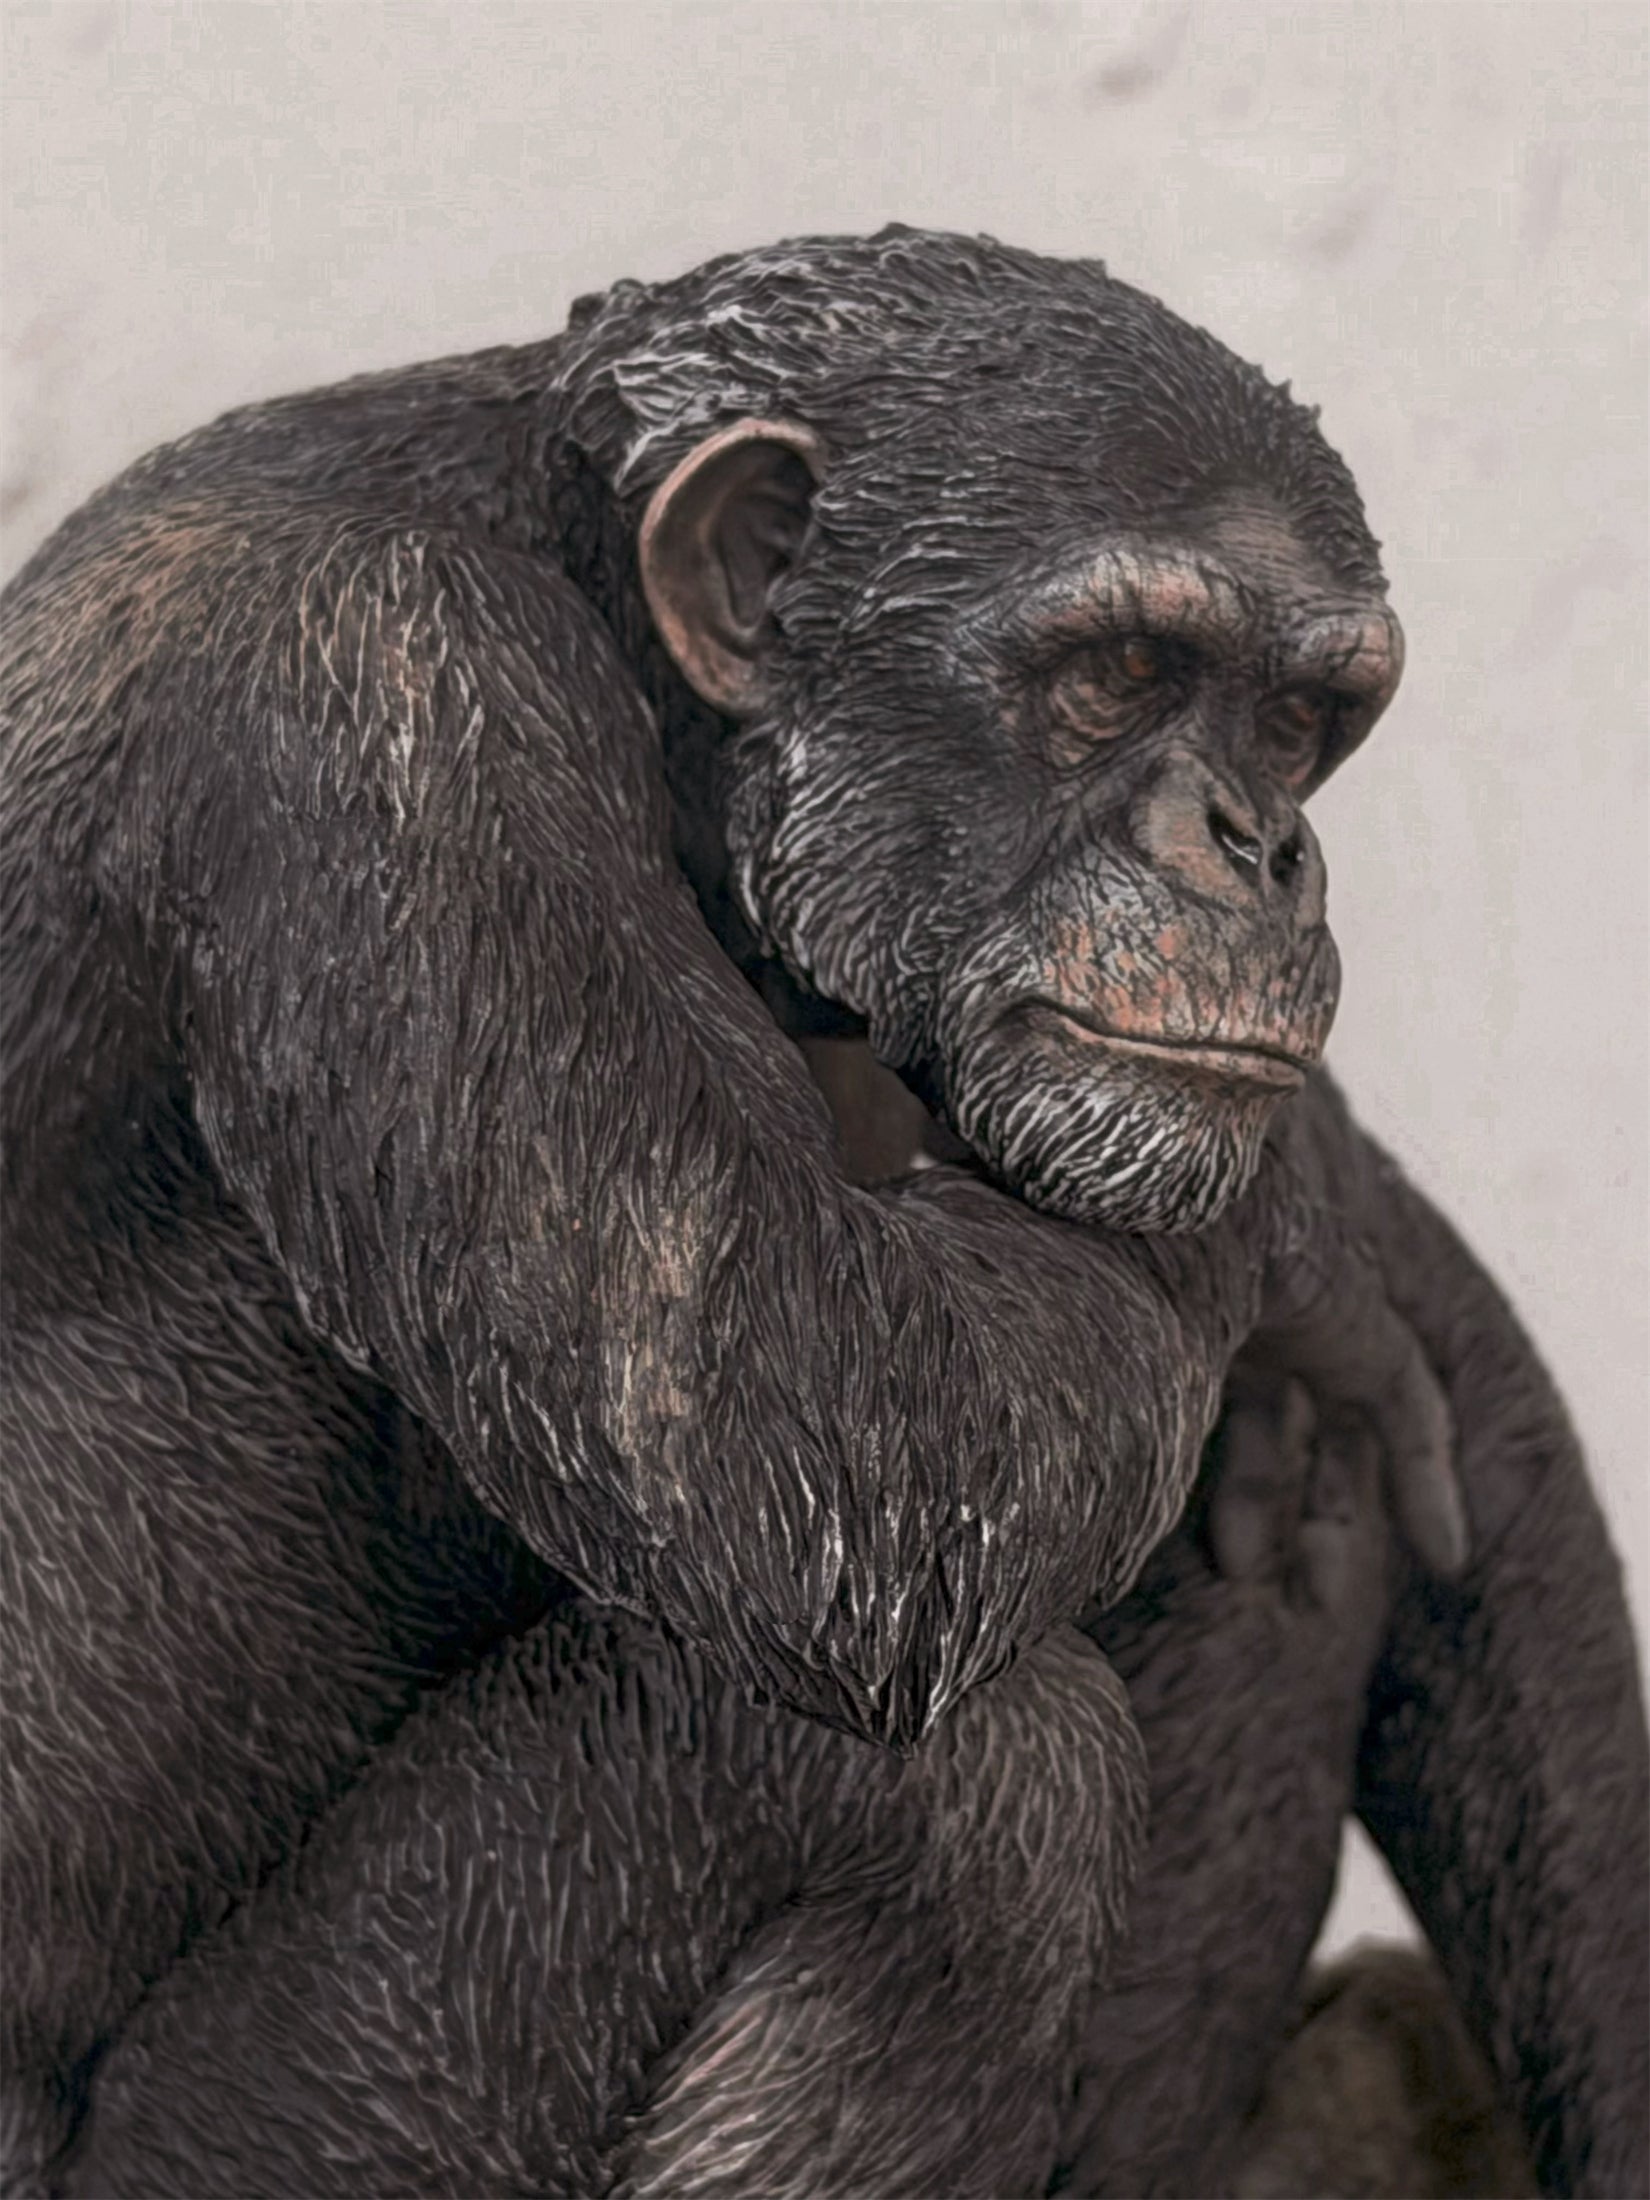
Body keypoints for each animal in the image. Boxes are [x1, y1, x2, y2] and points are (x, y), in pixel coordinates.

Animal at [4, 224, 1573, 2192]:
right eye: (1125, 670)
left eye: (1298, 720)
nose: (1261, 842)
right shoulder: (381, 698)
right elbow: (837, 1448)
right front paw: (1311, 1236)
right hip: (267, 2137)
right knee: (965, 1793)